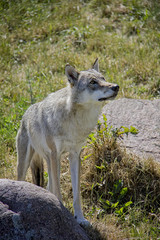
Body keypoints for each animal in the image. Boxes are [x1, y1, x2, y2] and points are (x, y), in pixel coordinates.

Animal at [16, 58, 119, 225]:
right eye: (93, 82)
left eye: (103, 78)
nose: (116, 86)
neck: (76, 122)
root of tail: (26, 113)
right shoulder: (55, 154)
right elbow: (59, 191)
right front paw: (62, 213)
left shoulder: (75, 155)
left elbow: (77, 195)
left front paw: (80, 219)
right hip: (29, 163)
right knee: (27, 181)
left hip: (49, 161)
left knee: (49, 186)